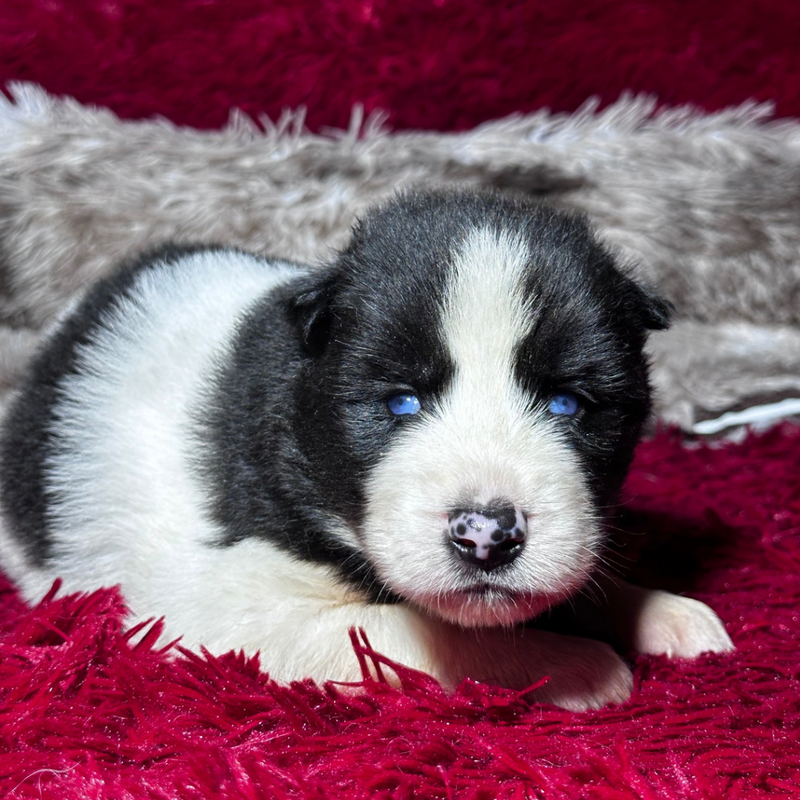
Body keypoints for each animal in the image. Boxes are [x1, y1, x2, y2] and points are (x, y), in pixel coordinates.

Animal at [0, 192, 732, 708]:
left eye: (568, 405)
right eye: (400, 404)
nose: (487, 536)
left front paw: (664, 613)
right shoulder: (209, 608)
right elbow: (411, 636)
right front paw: (573, 664)